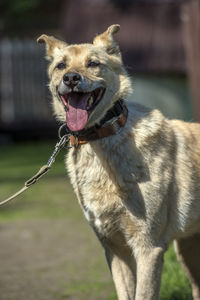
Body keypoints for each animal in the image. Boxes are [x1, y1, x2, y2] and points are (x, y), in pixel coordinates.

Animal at [37, 24, 200, 298]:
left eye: (93, 63)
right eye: (61, 66)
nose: (71, 78)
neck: (101, 137)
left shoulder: (148, 248)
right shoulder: (115, 250)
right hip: (188, 249)